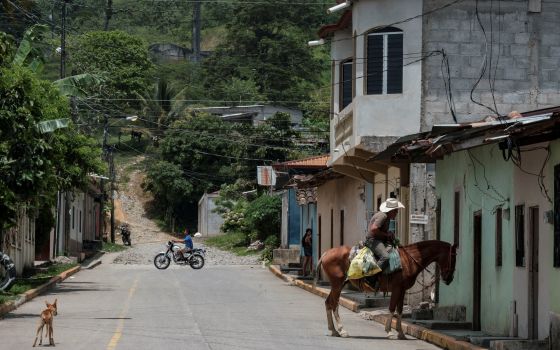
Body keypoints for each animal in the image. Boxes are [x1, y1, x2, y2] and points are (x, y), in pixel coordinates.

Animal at [316, 241, 456, 340]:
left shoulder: (402, 290)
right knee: (334, 304)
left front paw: (401, 333)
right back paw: (342, 330)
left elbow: (399, 310)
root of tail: (325, 254)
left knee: (328, 303)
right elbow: (392, 308)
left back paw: (334, 330)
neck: (409, 260)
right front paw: (389, 332)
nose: (449, 279)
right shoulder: (397, 288)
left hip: (337, 285)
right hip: (337, 284)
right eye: (453, 258)